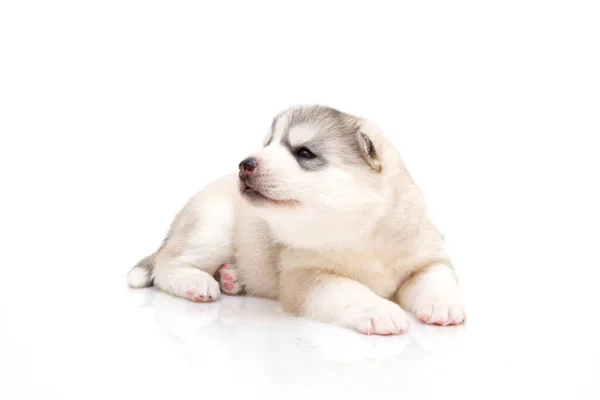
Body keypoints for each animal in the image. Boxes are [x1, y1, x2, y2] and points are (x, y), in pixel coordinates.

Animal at [125, 105, 464, 334]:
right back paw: (197, 282)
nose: (244, 164)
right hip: (212, 224)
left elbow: (434, 278)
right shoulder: (306, 277)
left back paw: (231, 277)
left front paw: (442, 304)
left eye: (304, 153)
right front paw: (379, 310)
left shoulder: (425, 255)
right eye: (267, 144)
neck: (358, 231)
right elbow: (349, 289)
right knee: (168, 263)